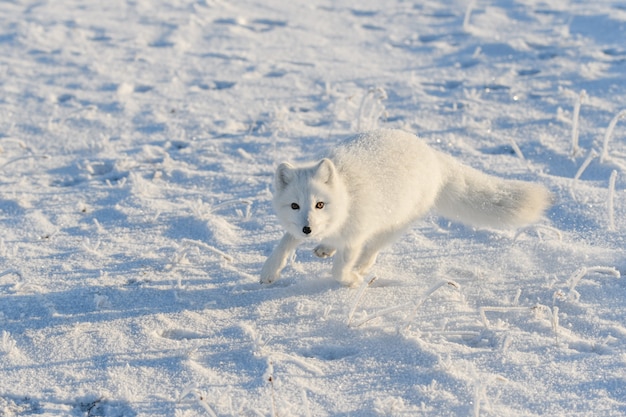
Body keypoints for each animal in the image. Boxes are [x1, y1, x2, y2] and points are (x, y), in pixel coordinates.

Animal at [260, 130, 548, 286]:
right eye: (295, 205)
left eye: (320, 204)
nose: (308, 229)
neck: (347, 196)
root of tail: (431, 153)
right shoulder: (299, 229)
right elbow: (284, 243)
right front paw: (269, 272)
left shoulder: (355, 236)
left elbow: (339, 269)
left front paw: (350, 280)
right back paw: (325, 248)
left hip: (393, 224)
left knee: (372, 251)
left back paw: (360, 267)